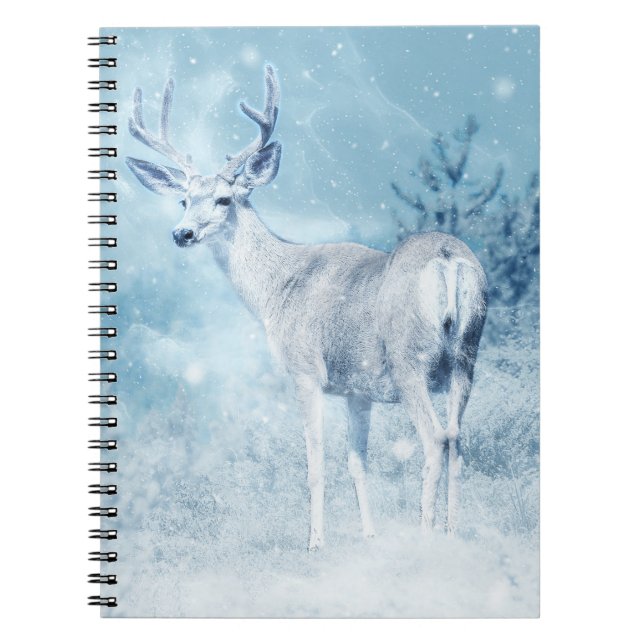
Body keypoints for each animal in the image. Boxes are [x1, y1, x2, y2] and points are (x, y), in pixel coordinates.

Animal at [125, 65, 488, 551]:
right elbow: (357, 463)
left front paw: (315, 542)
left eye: (223, 199)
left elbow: (314, 464)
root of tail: (448, 259)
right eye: (184, 199)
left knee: (435, 439)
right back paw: (452, 533)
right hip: (466, 356)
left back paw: (425, 534)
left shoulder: (305, 370)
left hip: (409, 359)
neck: (277, 289)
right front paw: (368, 535)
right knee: (458, 439)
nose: (181, 233)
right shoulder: (357, 389)